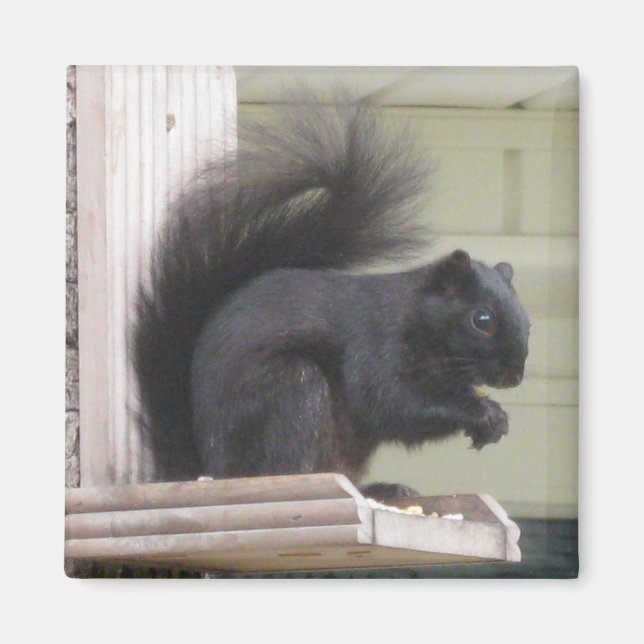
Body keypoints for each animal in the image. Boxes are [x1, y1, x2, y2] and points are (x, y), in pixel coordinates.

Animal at [132, 98, 530, 500]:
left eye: (528, 321)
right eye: (482, 320)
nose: (514, 377)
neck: (417, 320)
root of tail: (213, 471)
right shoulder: (375, 350)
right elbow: (395, 404)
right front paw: (482, 412)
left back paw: (381, 489)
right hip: (291, 391)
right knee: (284, 465)